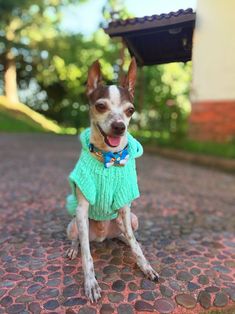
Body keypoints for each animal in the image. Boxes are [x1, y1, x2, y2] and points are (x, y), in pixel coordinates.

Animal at [65, 58, 159, 302]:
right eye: (100, 106)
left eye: (130, 110)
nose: (119, 126)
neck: (109, 158)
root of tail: (102, 237)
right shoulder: (81, 209)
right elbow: (87, 256)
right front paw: (91, 283)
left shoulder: (126, 207)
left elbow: (136, 245)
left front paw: (145, 266)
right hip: (73, 225)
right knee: (80, 240)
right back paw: (74, 247)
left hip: (132, 220)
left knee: (128, 235)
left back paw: (124, 239)